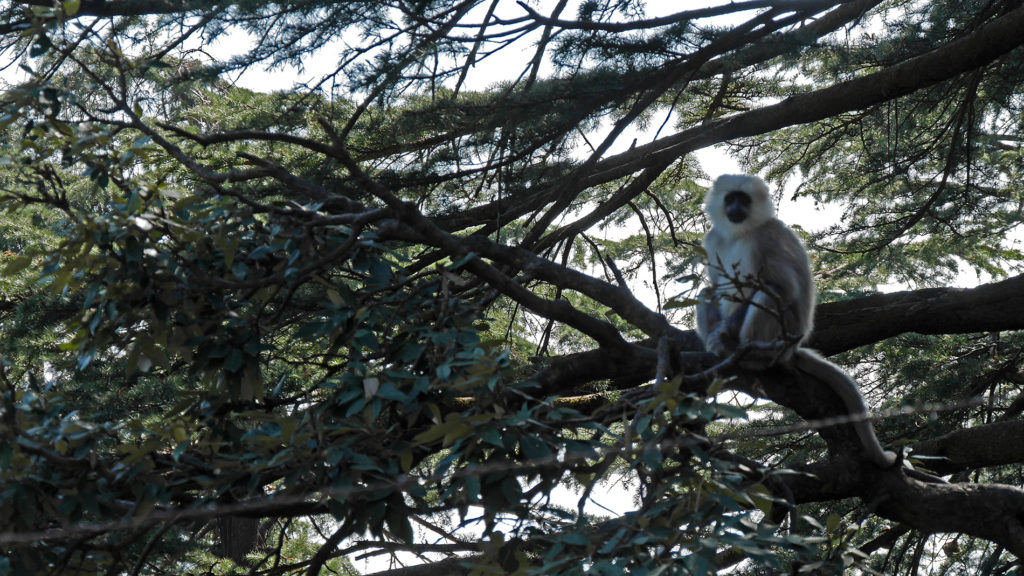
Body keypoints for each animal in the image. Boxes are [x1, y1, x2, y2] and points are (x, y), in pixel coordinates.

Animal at [696, 174, 897, 467]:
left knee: (770, 295)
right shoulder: (713, 239)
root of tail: (792, 350)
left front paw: (723, 335)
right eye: (730, 198)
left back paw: (750, 356)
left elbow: (782, 287)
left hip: (784, 333)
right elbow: (714, 286)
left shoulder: (765, 236)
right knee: (706, 291)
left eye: (744, 200)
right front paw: (715, 338)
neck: (740, 232)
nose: (736, 208)